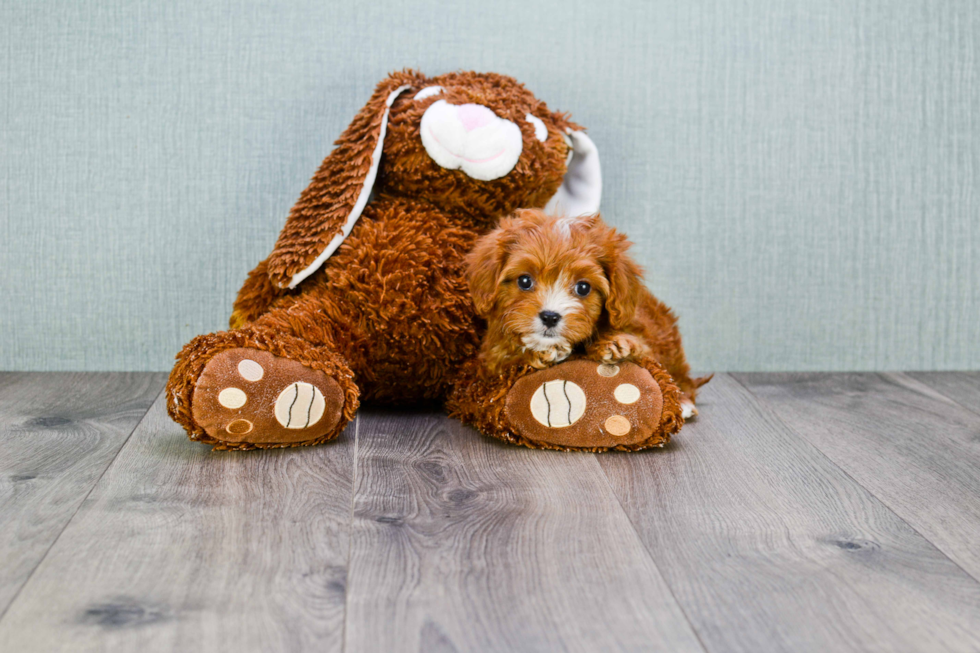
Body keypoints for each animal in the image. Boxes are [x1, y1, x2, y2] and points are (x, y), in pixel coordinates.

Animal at [468, 206, 704, 416]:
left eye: (583, 287)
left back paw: (684, 402)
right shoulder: (488, 362)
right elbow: (505, 359)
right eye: (524, 281)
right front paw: (540, 351)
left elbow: (642, 346)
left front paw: (616, 343)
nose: (550, 317)